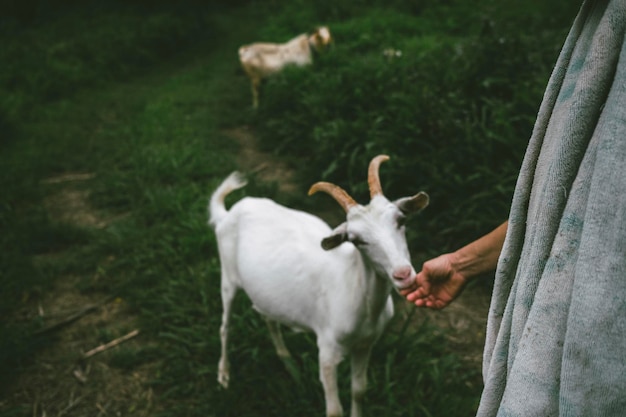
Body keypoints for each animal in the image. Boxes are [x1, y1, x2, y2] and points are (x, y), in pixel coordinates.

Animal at [207, 155, 426, 416]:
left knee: (267, 316)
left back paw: (288, 362)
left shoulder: (365, 345)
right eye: (356, 240)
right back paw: (224, 375)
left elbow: (359, 390)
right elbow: (334, 410)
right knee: (225, 326)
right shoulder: (327, 351)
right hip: (228, 276)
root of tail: (229, 212)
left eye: (401, 220)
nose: (403, 274)